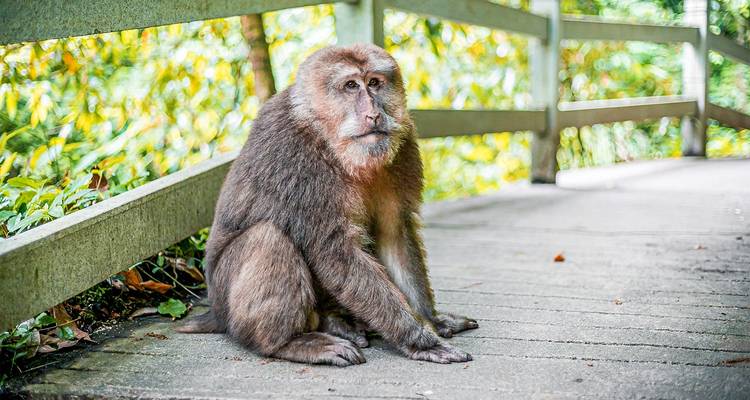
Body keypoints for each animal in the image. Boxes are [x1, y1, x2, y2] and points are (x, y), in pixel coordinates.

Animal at [178, 44, 478, 366]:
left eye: (374, 82)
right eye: (351, 86)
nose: (374, 114)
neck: (331, 141)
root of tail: (215, 311)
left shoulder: (404, 142)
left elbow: (393, 234)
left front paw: (430, 319)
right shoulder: (299, 160)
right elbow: (335, 253)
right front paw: (419, 340)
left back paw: (335, 322)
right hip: (228, 300)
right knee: (268, 238)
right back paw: (289, 342)